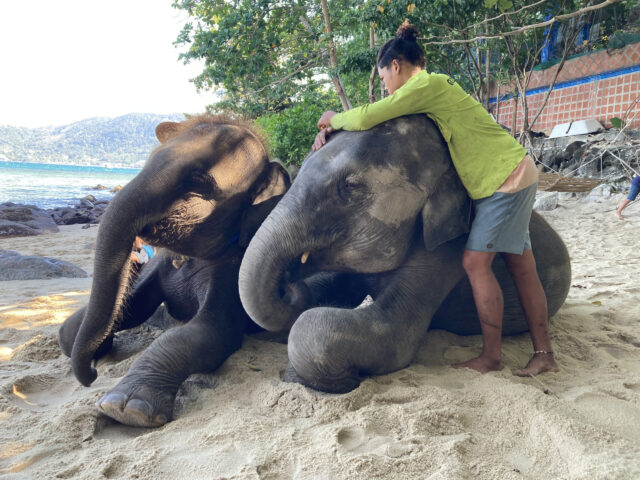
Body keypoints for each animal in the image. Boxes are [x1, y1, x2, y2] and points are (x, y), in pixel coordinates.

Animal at [58, 115, 291, 427]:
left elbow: (212, 332)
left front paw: (126, 409)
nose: (92, 375)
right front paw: (91, 343)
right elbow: (133, 308)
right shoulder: (161, 265)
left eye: (198, 182)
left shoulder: (237, 270)